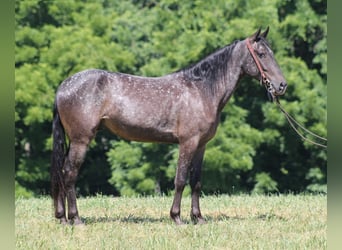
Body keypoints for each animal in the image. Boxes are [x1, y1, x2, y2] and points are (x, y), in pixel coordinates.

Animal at [50, 26, 286, 225]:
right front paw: (177, 217)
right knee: (69, 173)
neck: (201, 90)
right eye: (262, 54)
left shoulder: (201, 145)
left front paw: (198, 218)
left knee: (61, 171)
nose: (282, 85)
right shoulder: (187, 142)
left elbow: (196, 181)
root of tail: (63, 86)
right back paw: (76, 219)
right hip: (81, 140)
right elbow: (180, 179)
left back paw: (62, 218)